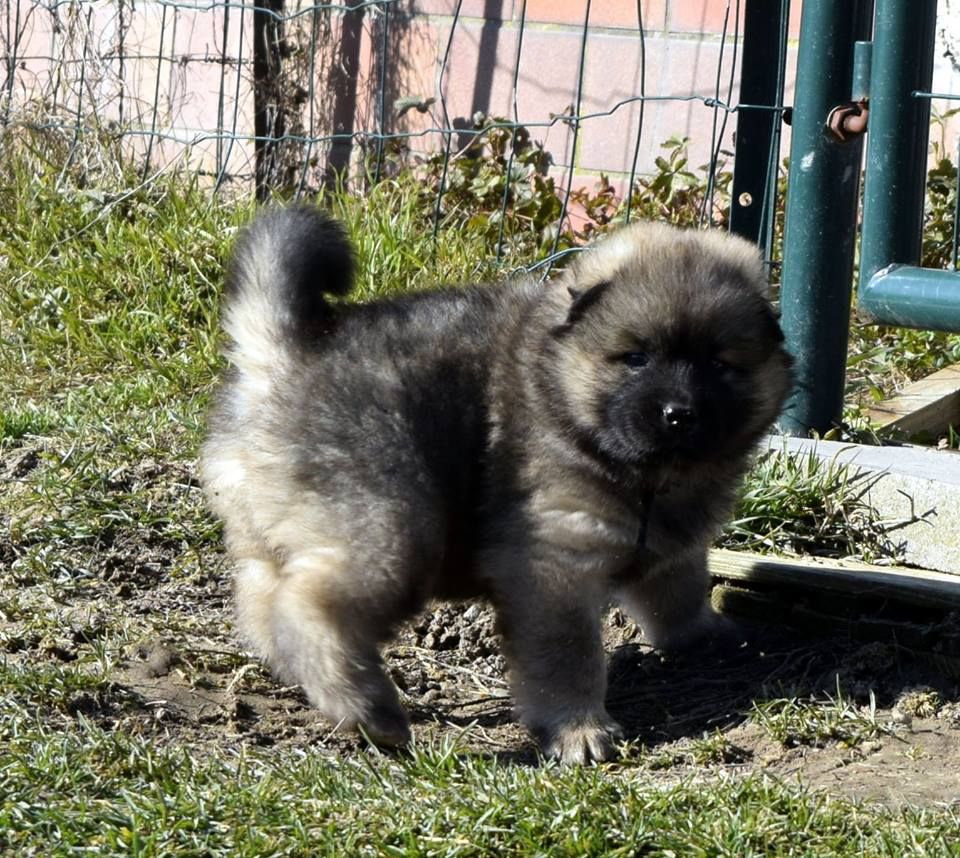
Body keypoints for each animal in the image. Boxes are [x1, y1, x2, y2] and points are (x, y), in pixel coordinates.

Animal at [199, 209, 792, 764]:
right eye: (636, 358)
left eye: (720, 363)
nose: (679, 413)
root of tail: (280, 356)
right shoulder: (553, 563)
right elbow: (569, 656)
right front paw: (580, 730)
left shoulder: (672, 544)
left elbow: (679, 591)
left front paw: (707, 634)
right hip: (392, 529)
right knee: (309, 606)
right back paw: (372, 711)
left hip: (269, 534)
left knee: (262, 601)